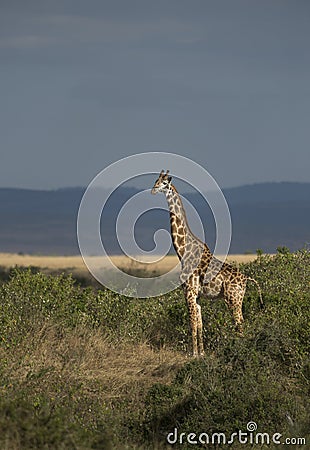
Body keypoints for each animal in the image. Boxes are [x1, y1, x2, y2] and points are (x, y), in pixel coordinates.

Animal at [151, 171, 262, 356]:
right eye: (156, 180)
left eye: (164, 183)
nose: (153, 190)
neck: (183, 251)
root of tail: (247, 279)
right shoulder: (197, 296)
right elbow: (200, 324)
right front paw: (202, 353)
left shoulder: (188, 291)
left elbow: (192, 324)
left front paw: (194, 354)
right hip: (238, 299)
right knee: (241, 322)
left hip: (232, 299)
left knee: (239, 324)